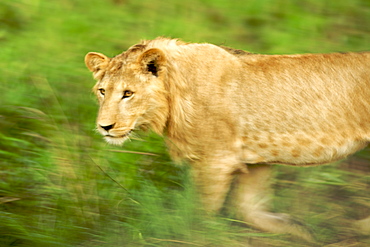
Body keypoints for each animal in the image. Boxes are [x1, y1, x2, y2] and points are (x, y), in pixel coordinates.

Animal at [84, 37, 370, 242]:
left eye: (128, 93)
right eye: (102, 91)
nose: (104, 127)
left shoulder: (217, 160)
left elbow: (200, 215)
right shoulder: (257, 161)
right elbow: (250, 209)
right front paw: (300, 230)